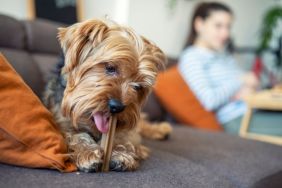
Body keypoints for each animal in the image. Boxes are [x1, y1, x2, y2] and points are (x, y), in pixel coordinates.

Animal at [44, 18, 172, 172]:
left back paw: (161, 129)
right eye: (110, 67)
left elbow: (123, 136)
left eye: (138, 86)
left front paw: (120, 153)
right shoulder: (60, 120)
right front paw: (87, 152)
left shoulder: (127, 128)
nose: (117, 107)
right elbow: (73, 135)